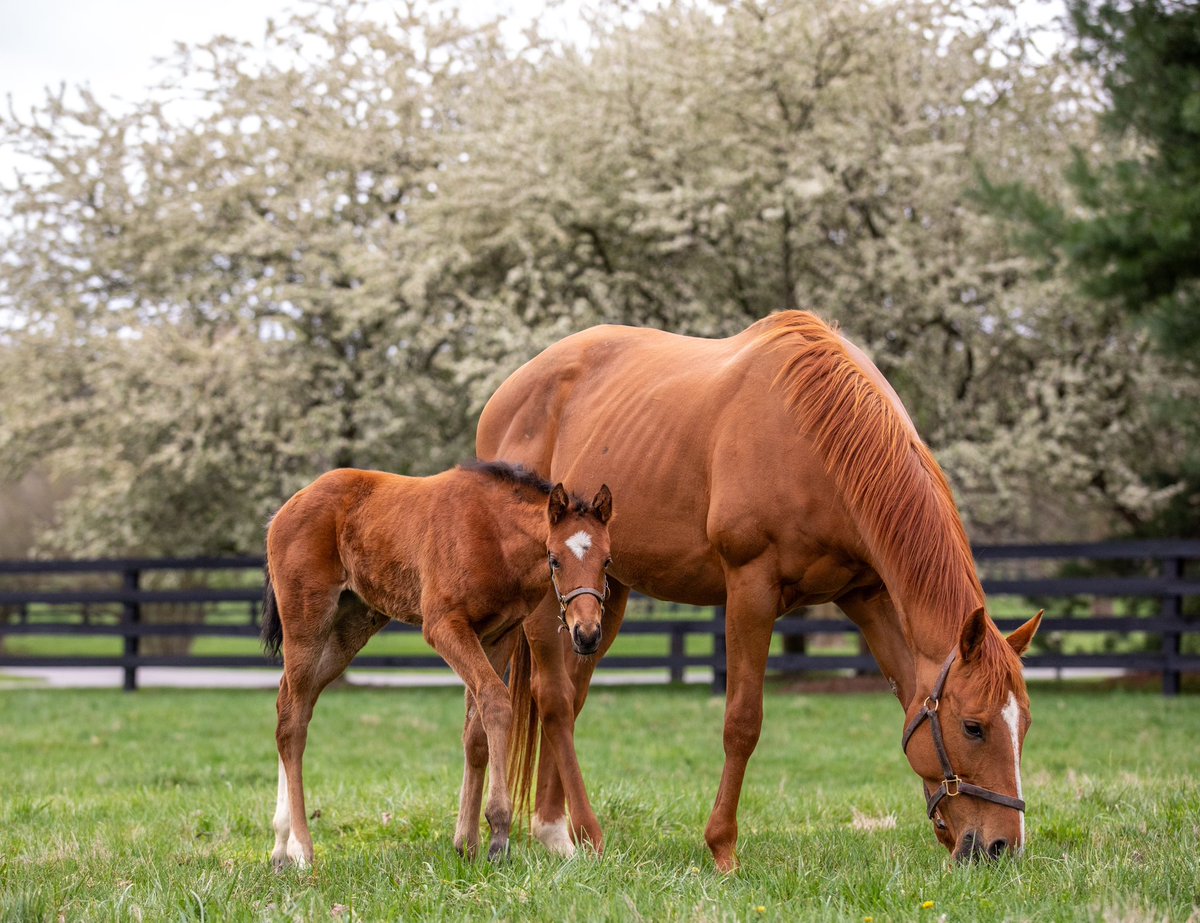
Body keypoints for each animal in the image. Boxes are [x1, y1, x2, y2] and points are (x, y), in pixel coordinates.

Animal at [259, 465, 614, 868]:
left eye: (606, 561)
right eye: (554, 558)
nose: (587, 633)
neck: (495, 536)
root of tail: (283, 511)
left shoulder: (499, 635)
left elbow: (476, 732)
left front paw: (467, 842)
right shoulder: (444, 625)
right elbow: (496, 701)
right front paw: (498, 836)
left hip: (348, 629)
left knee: (289, 705)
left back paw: (281, 846)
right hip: (308, 624)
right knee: (293, 723)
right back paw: (301, 848)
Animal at [475, 312, 1041, 873]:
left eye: (1025, 725)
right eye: (973, 727)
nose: (1002, 848)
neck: (817, 436)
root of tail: (508, 394)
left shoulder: (869, 596)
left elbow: (908, 697)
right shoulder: (751, 589)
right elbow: (742, 722)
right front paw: (722, 847)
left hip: (600, 602)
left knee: (572, 699)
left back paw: (560, 832)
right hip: (550, 600)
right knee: (553, 699)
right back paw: (574, 832)